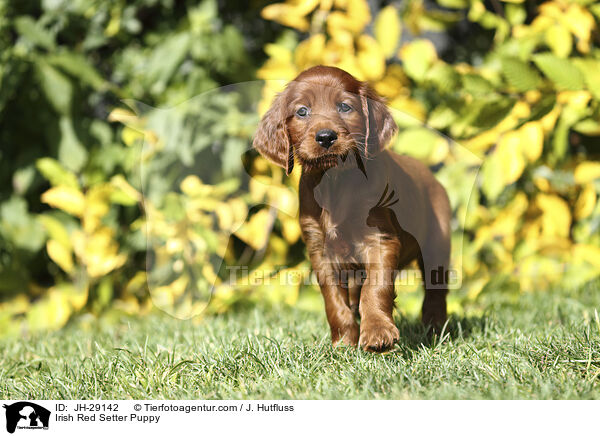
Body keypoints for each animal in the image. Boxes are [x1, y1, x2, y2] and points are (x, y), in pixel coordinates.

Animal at [252, 64, 450, 352]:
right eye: (302, 111)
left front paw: (378, 333)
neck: (335, 182)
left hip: (437, 243)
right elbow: (333, 300)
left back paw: (434, 328)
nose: (325, 137)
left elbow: (375, 288)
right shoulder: (321, 251)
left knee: (436, 291)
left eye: (345, 107)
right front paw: (344, 342)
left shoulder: (380, 239)